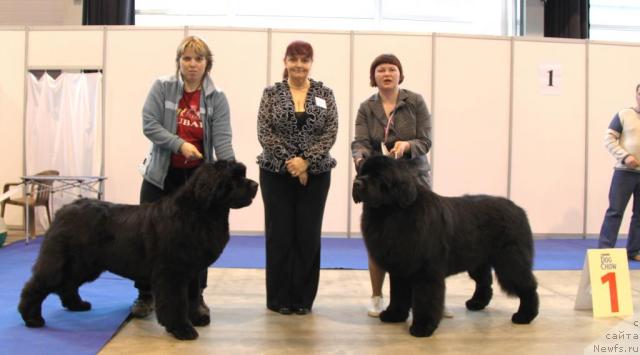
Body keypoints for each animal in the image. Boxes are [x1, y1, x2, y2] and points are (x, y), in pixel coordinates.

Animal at [18, 160, 258, 340]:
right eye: (235, 177)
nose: (255, 184)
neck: (199, 212)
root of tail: (64, 210)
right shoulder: (172, 273)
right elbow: (175, 301)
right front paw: (182, 329)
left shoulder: (191, 272)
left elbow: (191, 296)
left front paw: (196, 318)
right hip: (65, 261)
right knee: (37, 285)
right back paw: (32, 318)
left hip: (85, 265)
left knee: (67, 285)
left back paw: (77, 305)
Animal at [352, 156, 536, 340]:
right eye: (361, 172)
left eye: (378, 176)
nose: (357, 183)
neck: (390, 213)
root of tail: (519, 209)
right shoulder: (400, 268)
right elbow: (398, 293)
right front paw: (394, 315)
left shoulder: (426, 271)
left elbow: (425, 299)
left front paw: (423, 327)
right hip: (478, 261)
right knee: (484, 282)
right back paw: (476, 303)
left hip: (510, 261)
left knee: (527, 285)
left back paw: (525, 315)